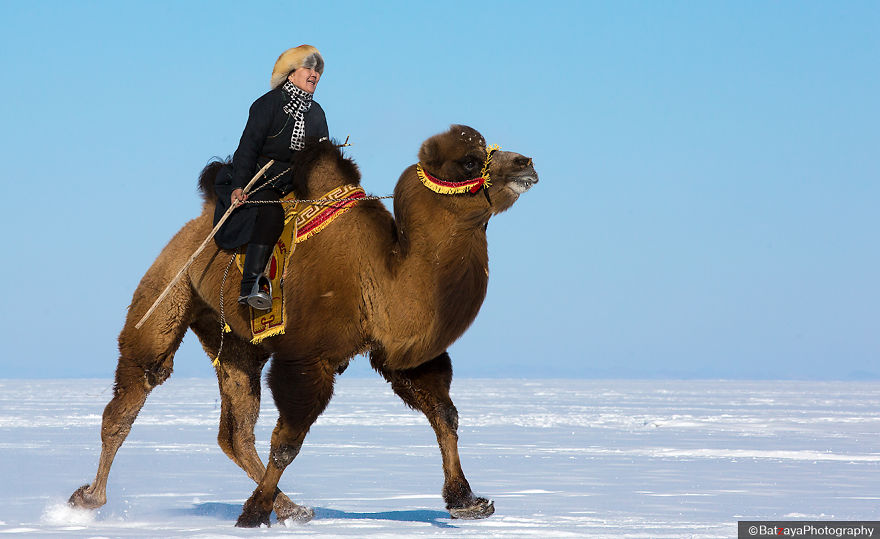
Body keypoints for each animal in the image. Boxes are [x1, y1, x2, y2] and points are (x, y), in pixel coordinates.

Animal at [68, 125, 538, 526]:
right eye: (470, 161)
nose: (525, 162)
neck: (383, 271)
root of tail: (197, 224)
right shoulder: (307, 357)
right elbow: (288, 442)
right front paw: (252, 514)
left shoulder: (401, 351)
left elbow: (445, 414)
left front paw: (467, 501)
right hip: (166, 290)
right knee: (134, 391)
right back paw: (88, 498)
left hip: (237, 342)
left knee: (234, 432)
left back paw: (293, 508)